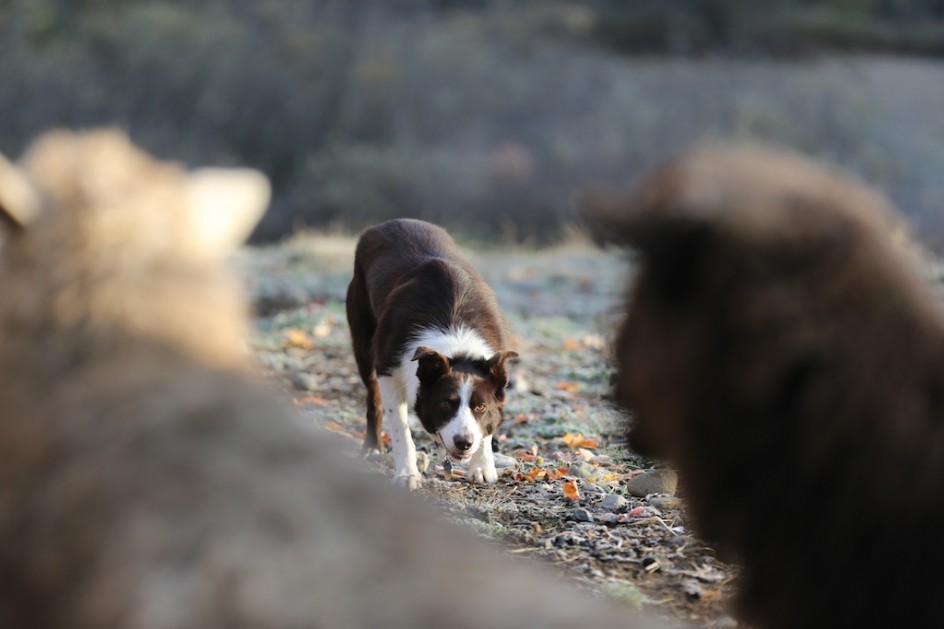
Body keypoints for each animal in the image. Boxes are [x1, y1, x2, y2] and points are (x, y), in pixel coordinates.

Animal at [346, 218, 520, 488]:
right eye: (445, 403)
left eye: (480, 406)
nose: (464, 443)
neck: (457, 339)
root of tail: (391, 222)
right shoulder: (389, 370)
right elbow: (401, 429)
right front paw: (407, 474)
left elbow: (487, 429)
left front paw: (482, 466)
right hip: (362, 338)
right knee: (372, 396)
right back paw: (373, 447)